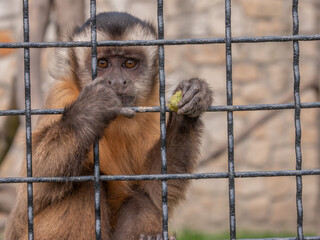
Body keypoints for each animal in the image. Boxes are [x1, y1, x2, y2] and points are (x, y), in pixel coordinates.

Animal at [4, 11, 212, 240]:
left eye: (129, 64)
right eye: (103, 64)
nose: (118, 81)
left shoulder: (151, 108)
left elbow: (155, 189)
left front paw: (192, 98)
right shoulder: (61, 96)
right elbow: (36, 181)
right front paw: (92, 108)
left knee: (141, 200)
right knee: (84, 184)